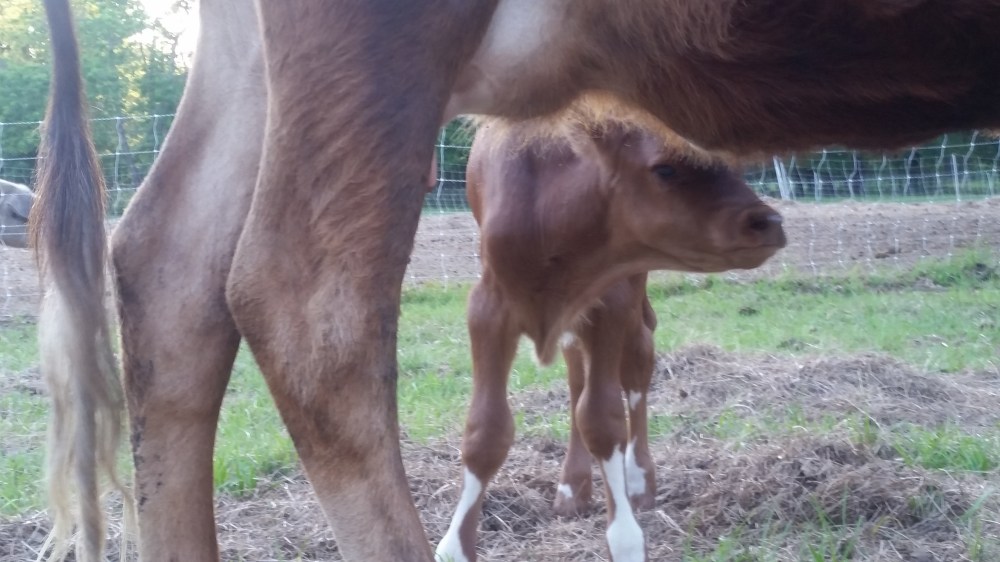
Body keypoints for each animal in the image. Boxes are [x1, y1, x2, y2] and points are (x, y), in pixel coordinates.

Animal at [436, 116, 785, 562]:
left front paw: (625, 539)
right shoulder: (488, 306)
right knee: (576, 378)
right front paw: (454, 547)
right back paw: (573, 486)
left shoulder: (613, 298)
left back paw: (637, 478)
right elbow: (486, 430)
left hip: (632, 301)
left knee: (637, 366)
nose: (768, 223)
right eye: (665, 168)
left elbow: (603, 419)